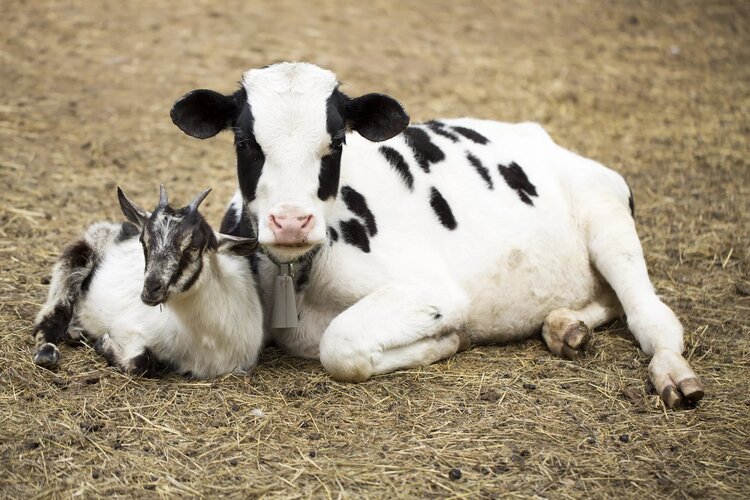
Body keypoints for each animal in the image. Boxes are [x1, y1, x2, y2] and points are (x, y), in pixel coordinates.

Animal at [33, 186, 266, 376]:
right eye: (144, 242)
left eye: (193, 246)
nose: (151, 289)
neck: (206, 339)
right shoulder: (128, 328)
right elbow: (141, 362)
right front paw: (104, 343)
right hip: (81, 252)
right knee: (55, 309)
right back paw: (47, 351)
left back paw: (74, 331)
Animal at [170, 61, 704, 406]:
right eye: (245, 141)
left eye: (337, 141)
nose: (291, 221)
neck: (299, 282)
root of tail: (542, 137)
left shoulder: (434, 292)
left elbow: (341, 346)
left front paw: (445, 343)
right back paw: (565, 327)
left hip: (605, 213)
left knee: (648, 313)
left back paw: (672, 373)